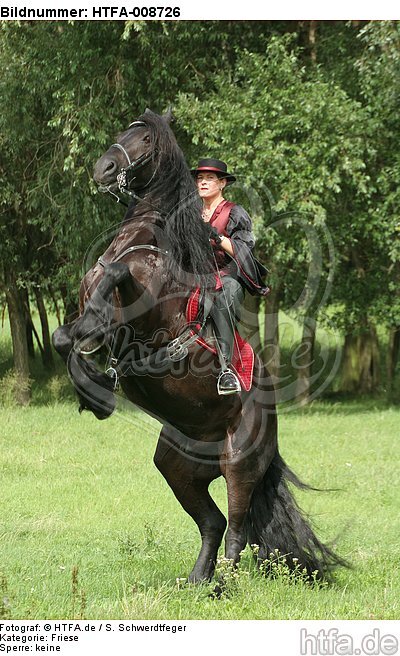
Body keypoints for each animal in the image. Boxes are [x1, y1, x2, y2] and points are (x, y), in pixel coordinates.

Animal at [52, 109, 346, 585]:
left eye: (145, 139)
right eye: (122, 132)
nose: (104, 169)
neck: (145, 241)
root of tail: (270, 423)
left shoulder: (147, 305)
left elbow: (114, 277)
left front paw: (99, 386)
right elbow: (66, 338)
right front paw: (95, 393)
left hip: (239, 464)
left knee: (237, 530)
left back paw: (221, 586)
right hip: (178, 467)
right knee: (214, 522)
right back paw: (196, 582)